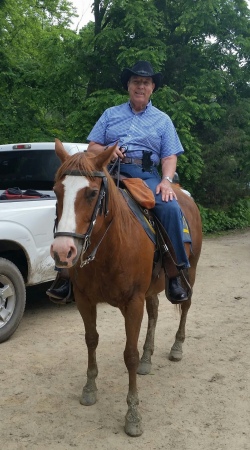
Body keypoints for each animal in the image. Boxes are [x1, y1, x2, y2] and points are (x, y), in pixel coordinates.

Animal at [50, 140, 203, 436]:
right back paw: (148, 358)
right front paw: (89, 388)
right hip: (151, 289)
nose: (63, 251)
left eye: (92, 193)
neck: (111, 245)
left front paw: (133, 415)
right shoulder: (85, 300)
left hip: (189, 272)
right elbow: (91, 340)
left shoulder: (133, 302)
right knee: (154, 313)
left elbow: (129, 355)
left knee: (186, 305)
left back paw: (176, 347)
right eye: (56, 191)